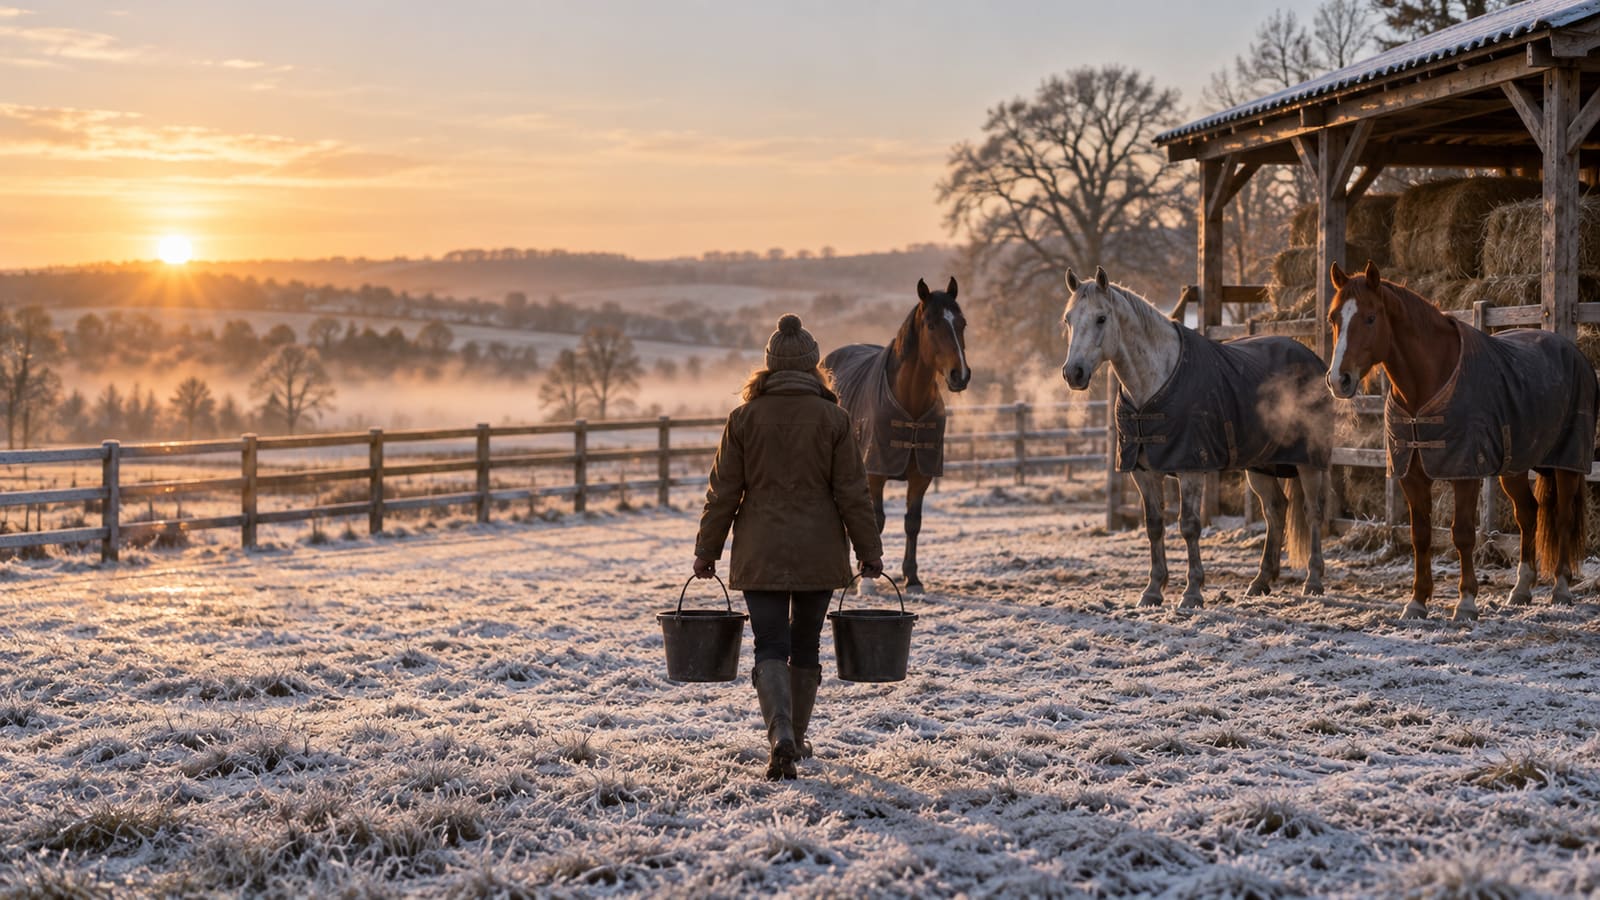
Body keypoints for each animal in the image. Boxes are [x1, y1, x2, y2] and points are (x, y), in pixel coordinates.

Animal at [824, 277, 971, 594]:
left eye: (962, 323)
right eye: (931, 324)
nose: (960, 375)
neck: (909, 400)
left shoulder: (921, 476)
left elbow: (912, 522)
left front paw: (912, 577)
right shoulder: (875, 473)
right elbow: (877, 521)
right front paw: (867, 580)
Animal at [1060, 266, 1330, 608]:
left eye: (1101, 318)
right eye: (1068, 319)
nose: (1074, 373)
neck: (1154, 383)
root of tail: (1313, 358)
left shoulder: (1191, 468)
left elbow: (1188, 526)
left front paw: (1192, 592)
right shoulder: (1143, 472)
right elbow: (1154, 525)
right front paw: (1153, 590)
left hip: (1309, 462)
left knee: (1313, 512)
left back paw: (1314, 581)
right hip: (1260, 465)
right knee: (1275, 510)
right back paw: (1260, 581)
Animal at [1326, 260, 1597, 621]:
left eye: (1370, 317)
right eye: (1333, 319)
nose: (1338, 380)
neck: (1428, 384)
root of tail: (1574, 352)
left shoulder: (1465, 473)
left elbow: (1463, 534)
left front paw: (1466, 601)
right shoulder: (1412, 475)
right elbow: (1420, 535)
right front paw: (1417, 601)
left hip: (1567, 462)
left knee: (1563, 516)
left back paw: (1561, 588)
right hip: (1513, 467)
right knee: (1528, 514)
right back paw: (1521, 589)